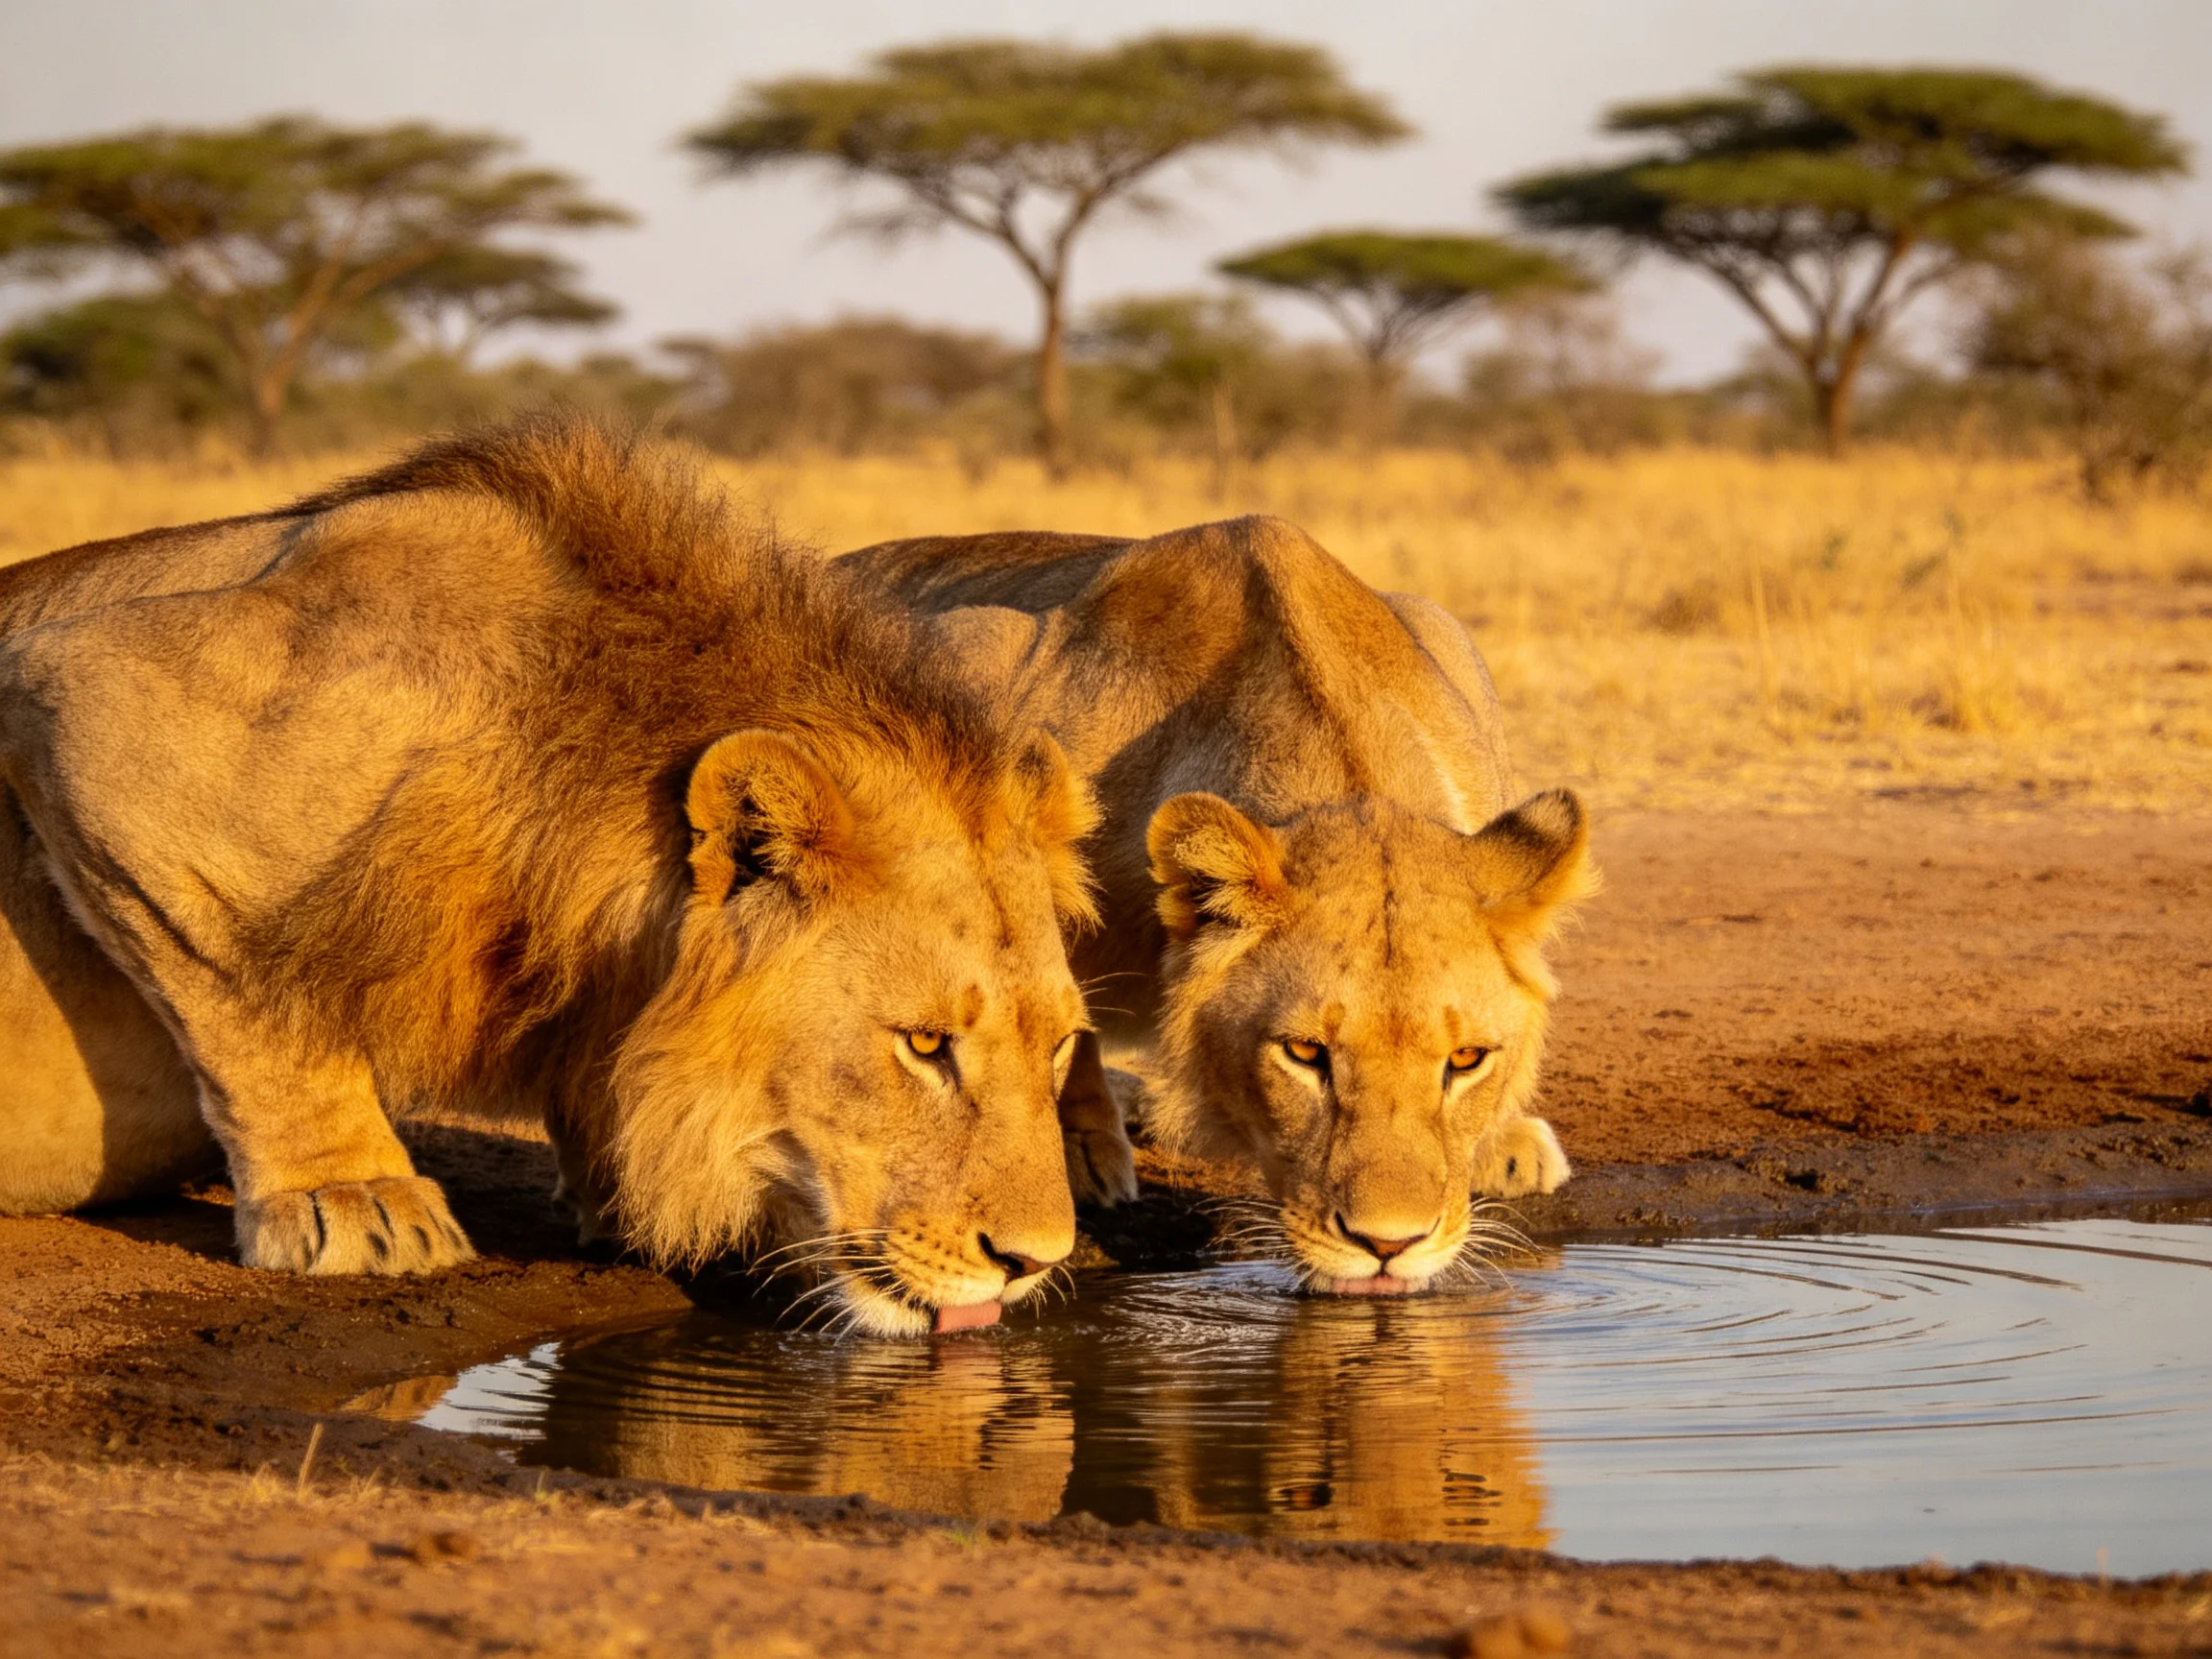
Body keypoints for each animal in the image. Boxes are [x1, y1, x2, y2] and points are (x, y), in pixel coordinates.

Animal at [0, 417, 1098, 1336]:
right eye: (925, 1045)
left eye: (1057, 1049)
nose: (1034, 1264)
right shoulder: (89, 695)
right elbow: (258, 1003)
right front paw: (354, 1200)